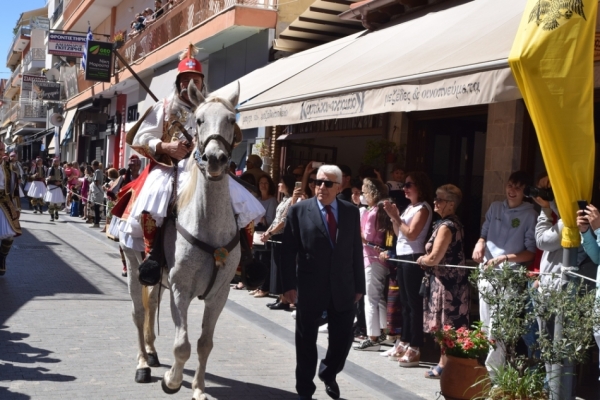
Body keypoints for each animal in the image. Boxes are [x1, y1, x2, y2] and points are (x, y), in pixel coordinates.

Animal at [161, 82, 243, 400]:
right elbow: (181, 344)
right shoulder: (179, 288)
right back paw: (145, 361)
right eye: (199, 120)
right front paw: (172, 380)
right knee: (140, 312)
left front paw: (198, 388)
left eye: (231, 119)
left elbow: (204, 344)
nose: (216, 158)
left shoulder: (219, 295)